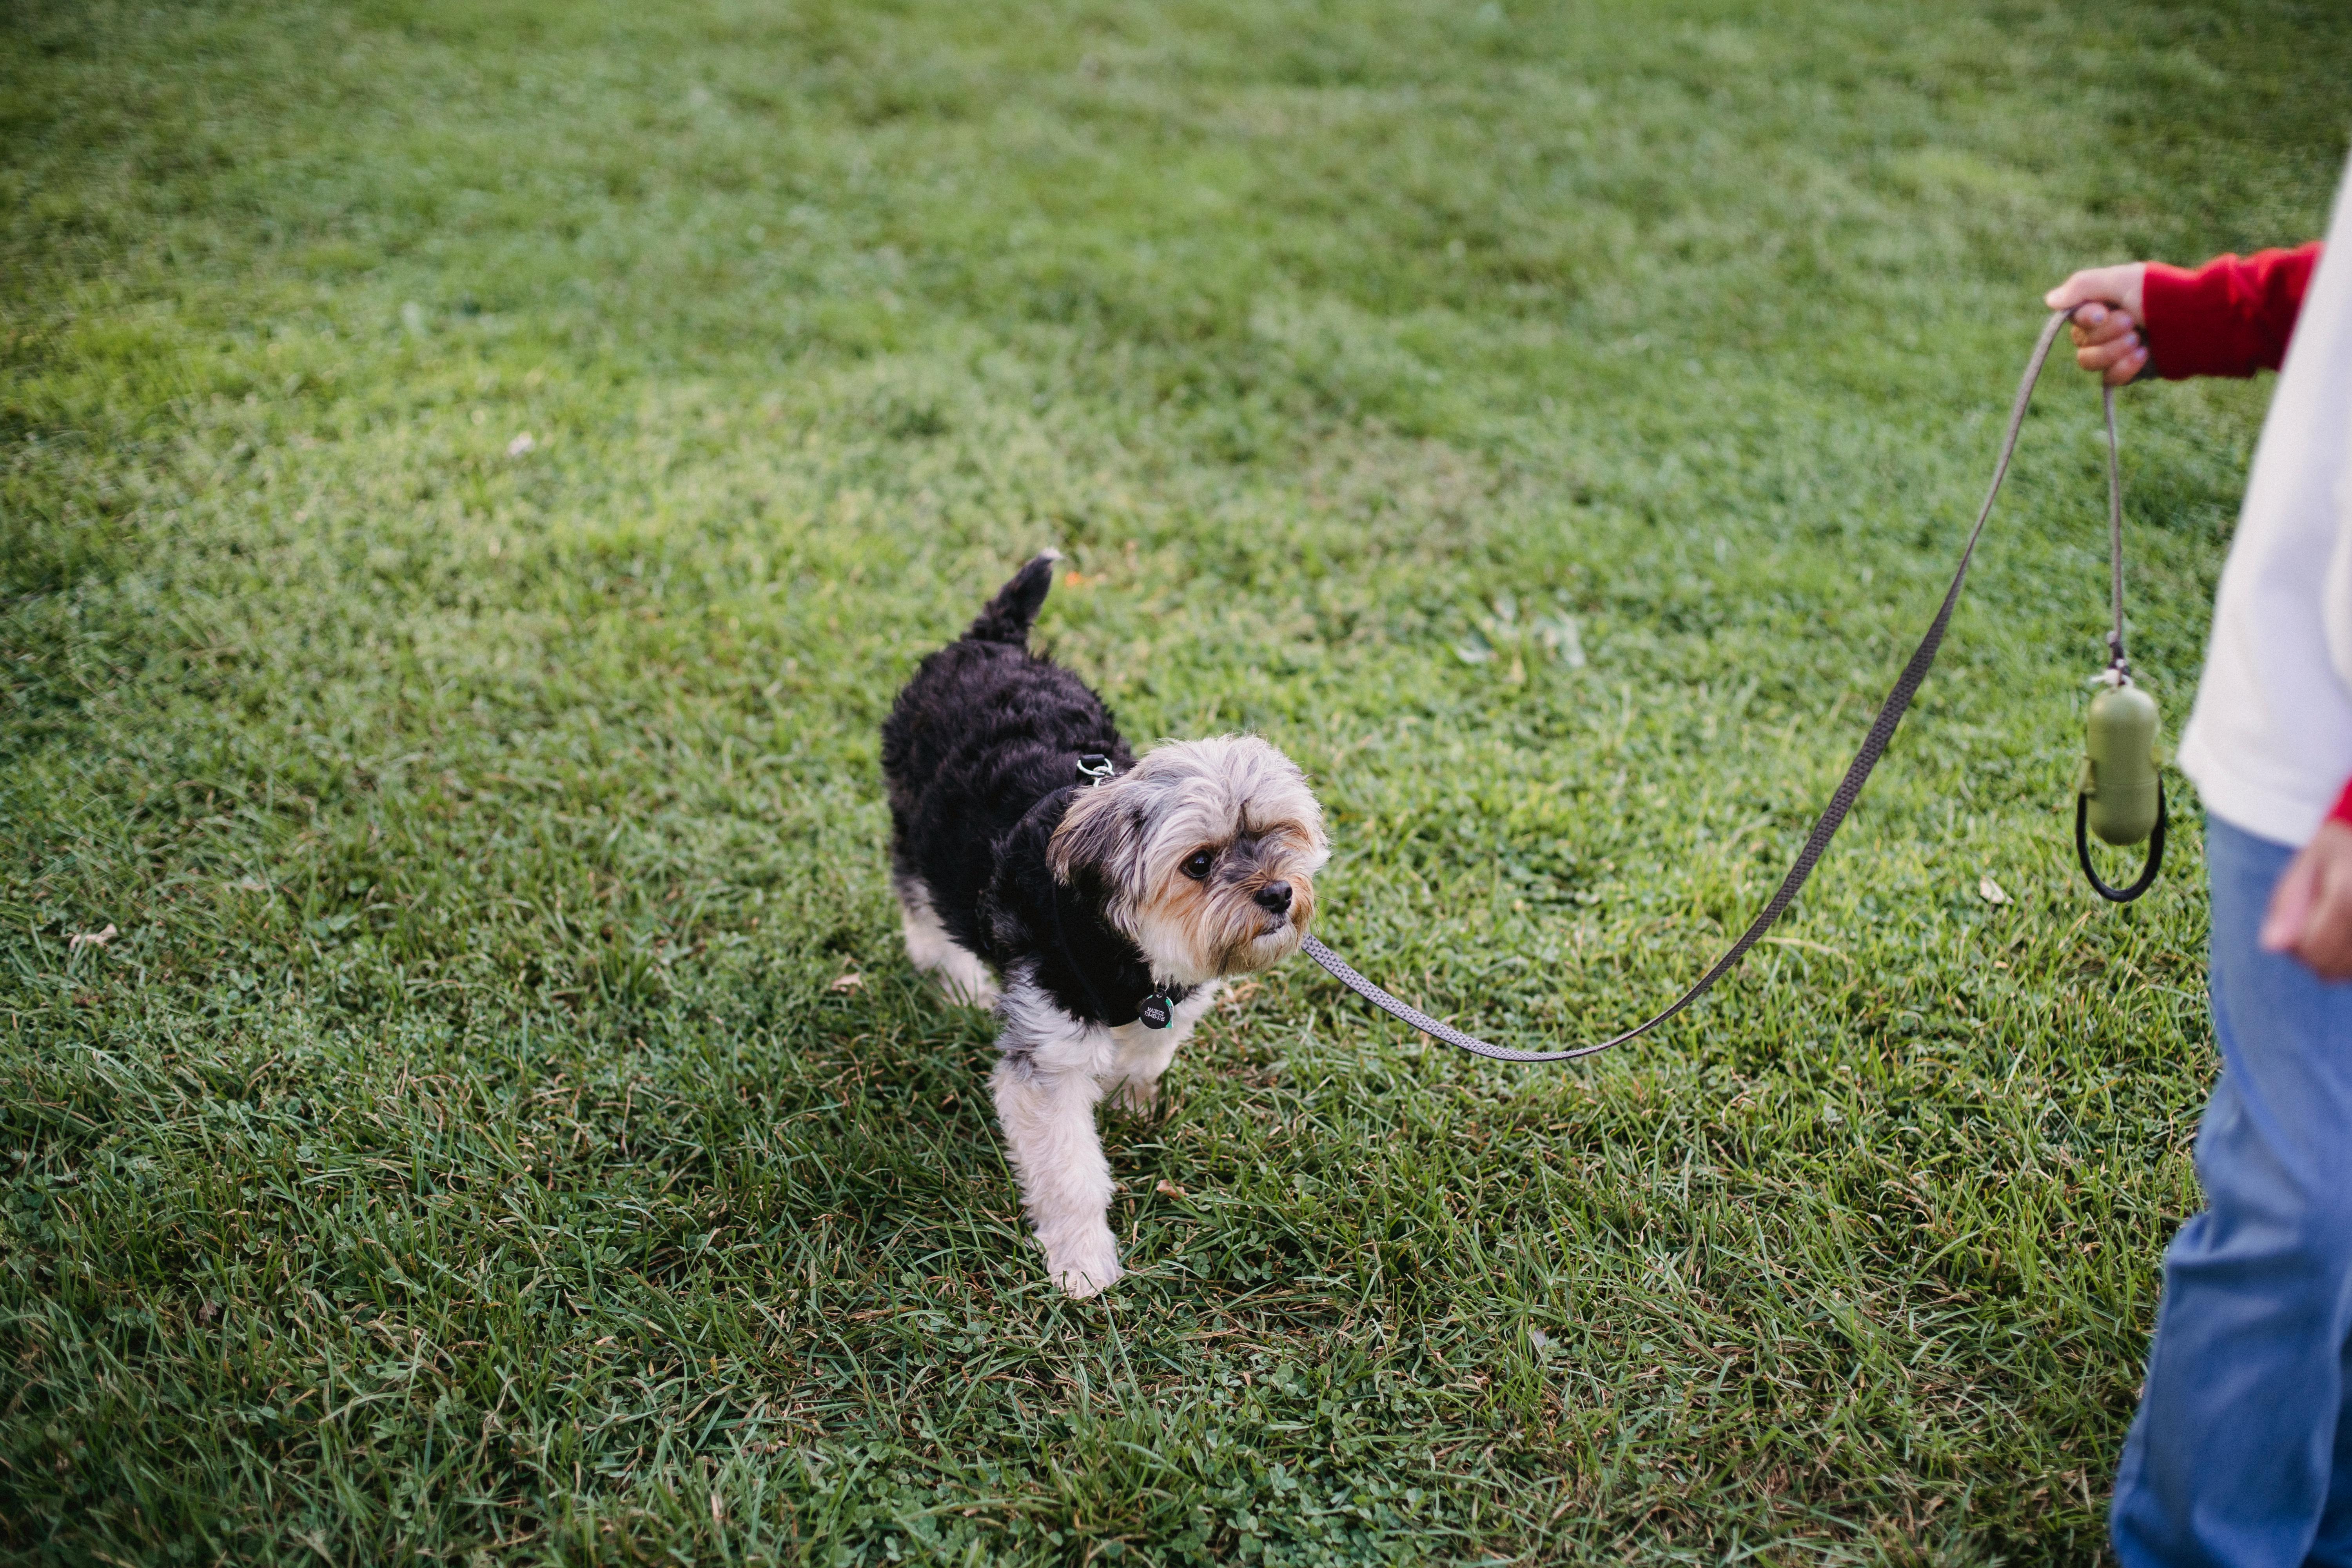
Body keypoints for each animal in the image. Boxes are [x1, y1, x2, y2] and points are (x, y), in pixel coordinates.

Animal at [880, 555, 1327, 1298]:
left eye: (1276, 833)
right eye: (1199, 863)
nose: (1279, 893)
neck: (1126, 944)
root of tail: (990, 641)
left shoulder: (1172, 998)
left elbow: (1149, 1050)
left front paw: (1130, 1100)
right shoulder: (1050, 1052)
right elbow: (1071, 1169)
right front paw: (1083, 1262)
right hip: (921, 829)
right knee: (919, 900)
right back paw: (957, 977)